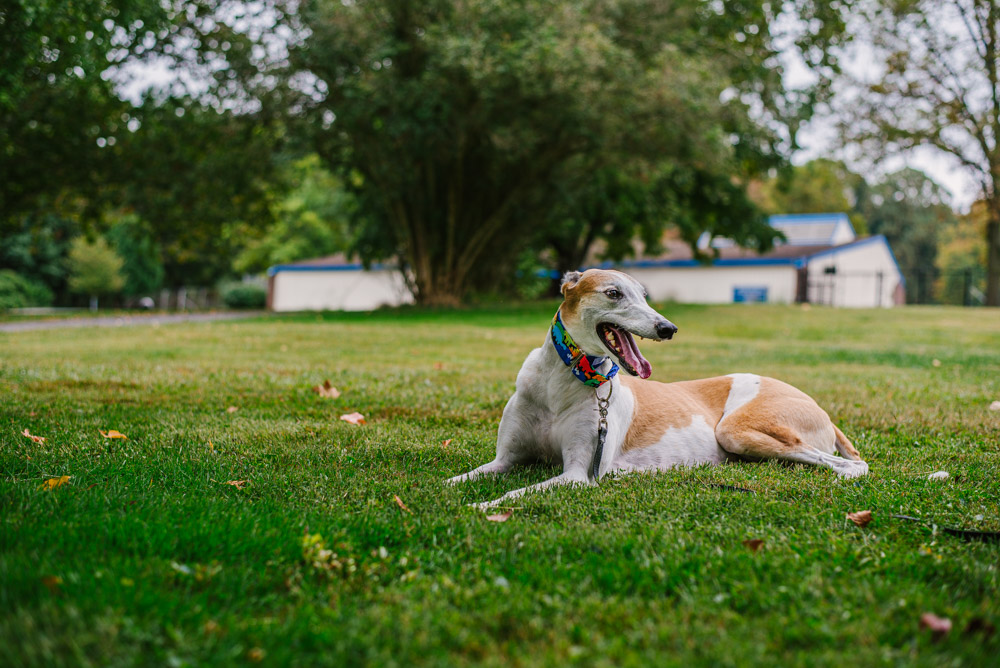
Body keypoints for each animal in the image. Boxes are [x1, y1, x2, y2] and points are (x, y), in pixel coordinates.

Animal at [447, 268, 868, 509]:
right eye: (614, 293)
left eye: (644, 294)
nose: (669, 328)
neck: (565, 379)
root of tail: (820, 408)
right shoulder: (505, 459)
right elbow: (463, 477)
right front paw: (442, 492)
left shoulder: (578, 476)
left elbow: (518, 492)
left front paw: (481, 508)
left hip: (737, 430)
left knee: (853, 464)